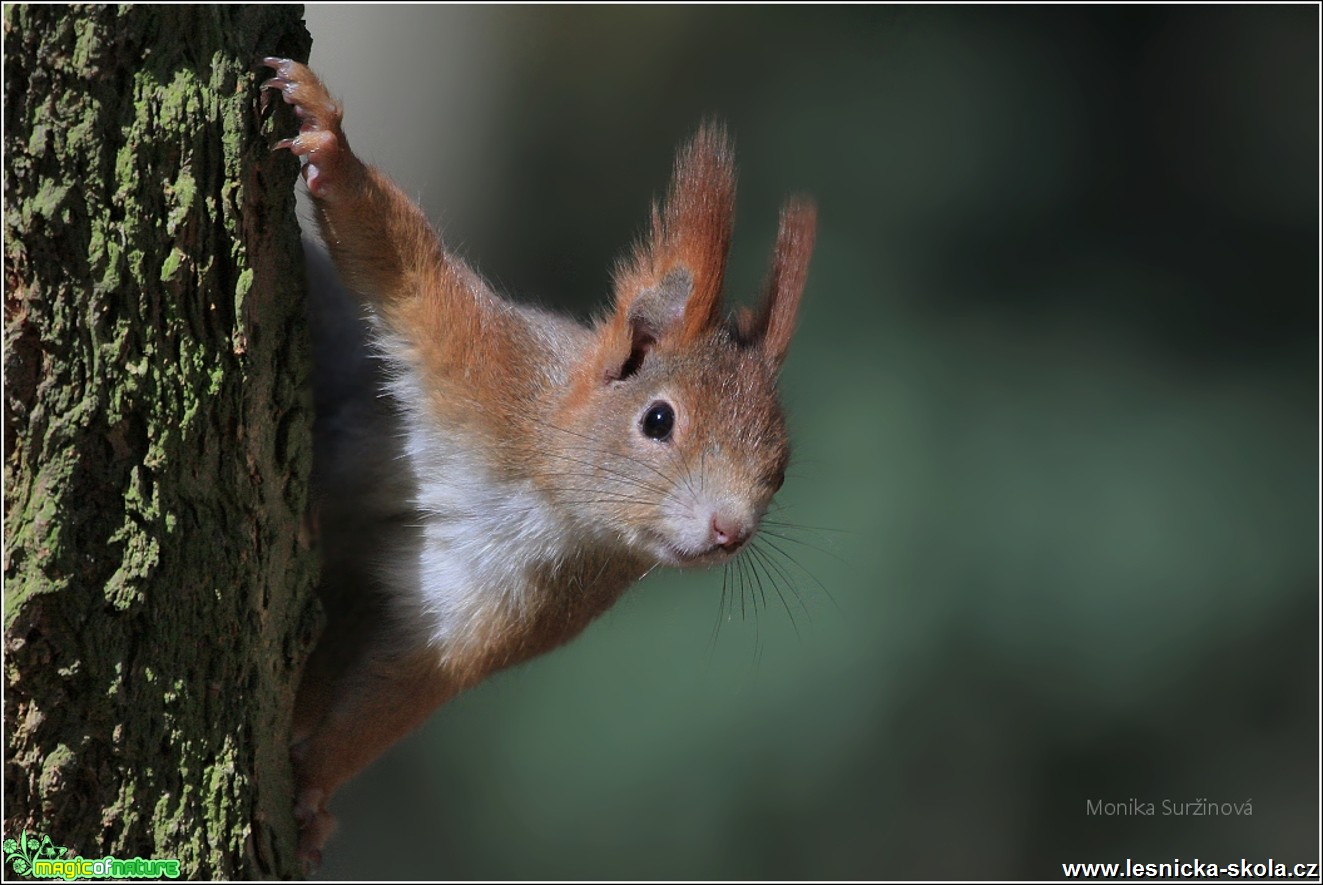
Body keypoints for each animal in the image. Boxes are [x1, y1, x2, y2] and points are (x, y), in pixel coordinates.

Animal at [259, 56, 814, 862]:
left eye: (781, 467)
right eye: (658, 419)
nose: (730, 530)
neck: (548, 495)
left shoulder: (499, 611)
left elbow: (397, 689)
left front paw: (312, 792)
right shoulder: (485, 362)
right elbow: (403, 267)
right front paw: (329, 144)